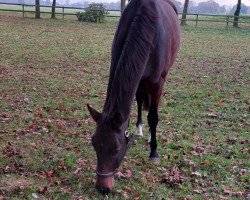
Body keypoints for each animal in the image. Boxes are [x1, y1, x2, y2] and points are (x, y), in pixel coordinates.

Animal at [87, 0, 180, 195]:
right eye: (93, 143)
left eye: (116, 148)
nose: (103, 188)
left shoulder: (157, 83)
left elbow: (153, 117)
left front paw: (154, 152)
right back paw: (139, 129)